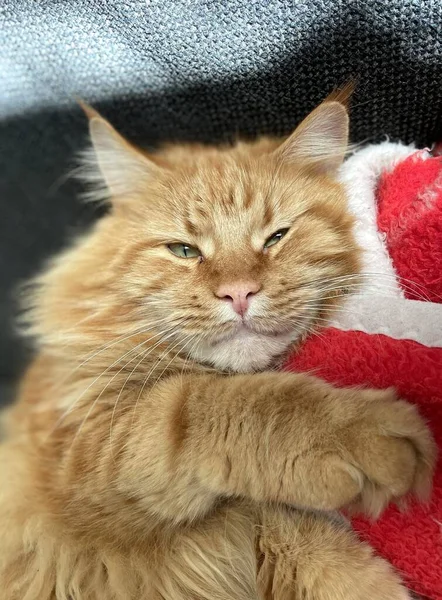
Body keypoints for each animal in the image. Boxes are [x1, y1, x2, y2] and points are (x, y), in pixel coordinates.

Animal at [0, 95, 436, 600]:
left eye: (277, 237)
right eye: (184, 251)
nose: (238, 292)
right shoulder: (82, 450)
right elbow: (213, 406)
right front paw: (352, 431)